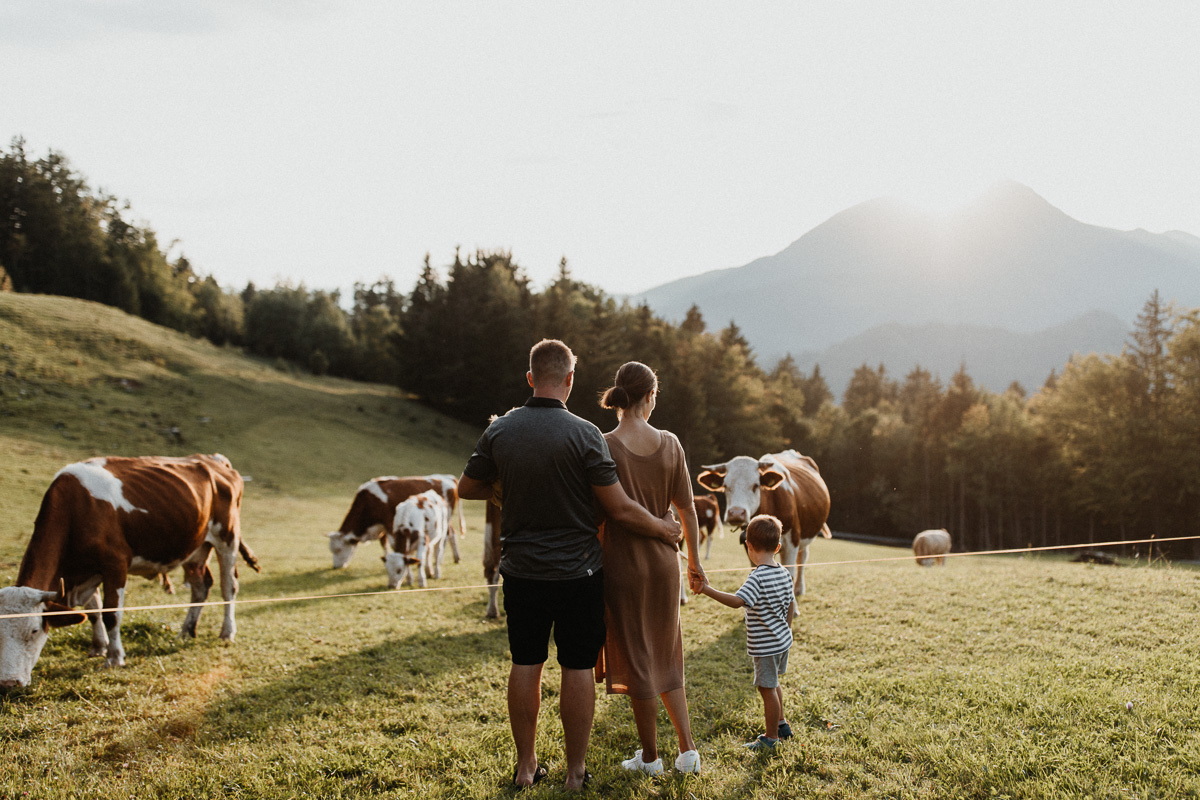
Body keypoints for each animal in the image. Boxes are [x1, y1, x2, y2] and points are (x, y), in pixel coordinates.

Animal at [0, 453, 258, 686]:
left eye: (34, 631)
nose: (8, 683)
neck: (77, 508)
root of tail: (213, 459)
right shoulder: (85, 571)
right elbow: (94, 612)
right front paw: (98, 647)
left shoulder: (115, 565)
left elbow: (111, 613)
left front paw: (115, 657)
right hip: (195, 546)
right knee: (201, 586)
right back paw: (186, 631)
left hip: (227, 537)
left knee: (228, 586)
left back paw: (227, 632)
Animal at [326, 474, 465, 568]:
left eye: (338, 549)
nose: (335, 567)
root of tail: (449, 478)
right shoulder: (382, 526)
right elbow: (383, 542)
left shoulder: (389, 522)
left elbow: (390, 542)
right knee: (451, 533)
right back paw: (455, 558)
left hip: (445, 518)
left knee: (445, 536)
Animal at [700, 450, 830, 594]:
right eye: (726, 486)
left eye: (756, 485)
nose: (736, 513)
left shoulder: (793, 541)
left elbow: (789, 573)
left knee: (803, 556)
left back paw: (799, 589)